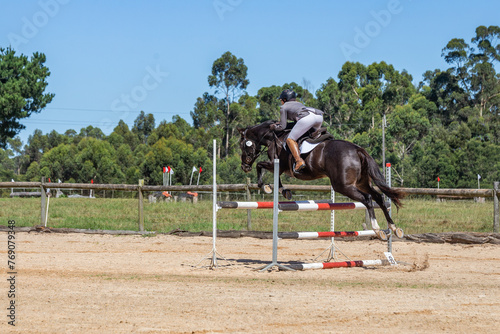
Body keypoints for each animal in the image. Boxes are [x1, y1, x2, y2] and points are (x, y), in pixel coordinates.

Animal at [238, 120, 406, 240]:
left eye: (242, 145)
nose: (244, 167)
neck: (274, 136)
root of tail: (358, 150)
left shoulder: (277, 164)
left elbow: (260, 166)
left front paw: (265, 186)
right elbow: (273, 175)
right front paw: (284, 192)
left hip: (343, 186)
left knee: (368, 198)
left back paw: (377, 229)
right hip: (361, 182)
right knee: (378, 197)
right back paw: (394, 228)